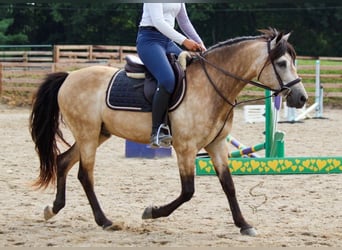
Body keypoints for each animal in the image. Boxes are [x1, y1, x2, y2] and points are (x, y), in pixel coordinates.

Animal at [29, 28, 308, 235]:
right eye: (282, 63)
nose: (301, 97)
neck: (212, 86)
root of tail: (69, 77)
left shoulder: (216, 145)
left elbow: (228, 185)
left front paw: (244, 224)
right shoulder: (185, 148)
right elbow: (188, 191)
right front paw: (151, 212)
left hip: (98, 134)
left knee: (62, 161)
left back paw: (53, 209)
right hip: (87, 134)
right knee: (85, 176)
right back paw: (105, 221)